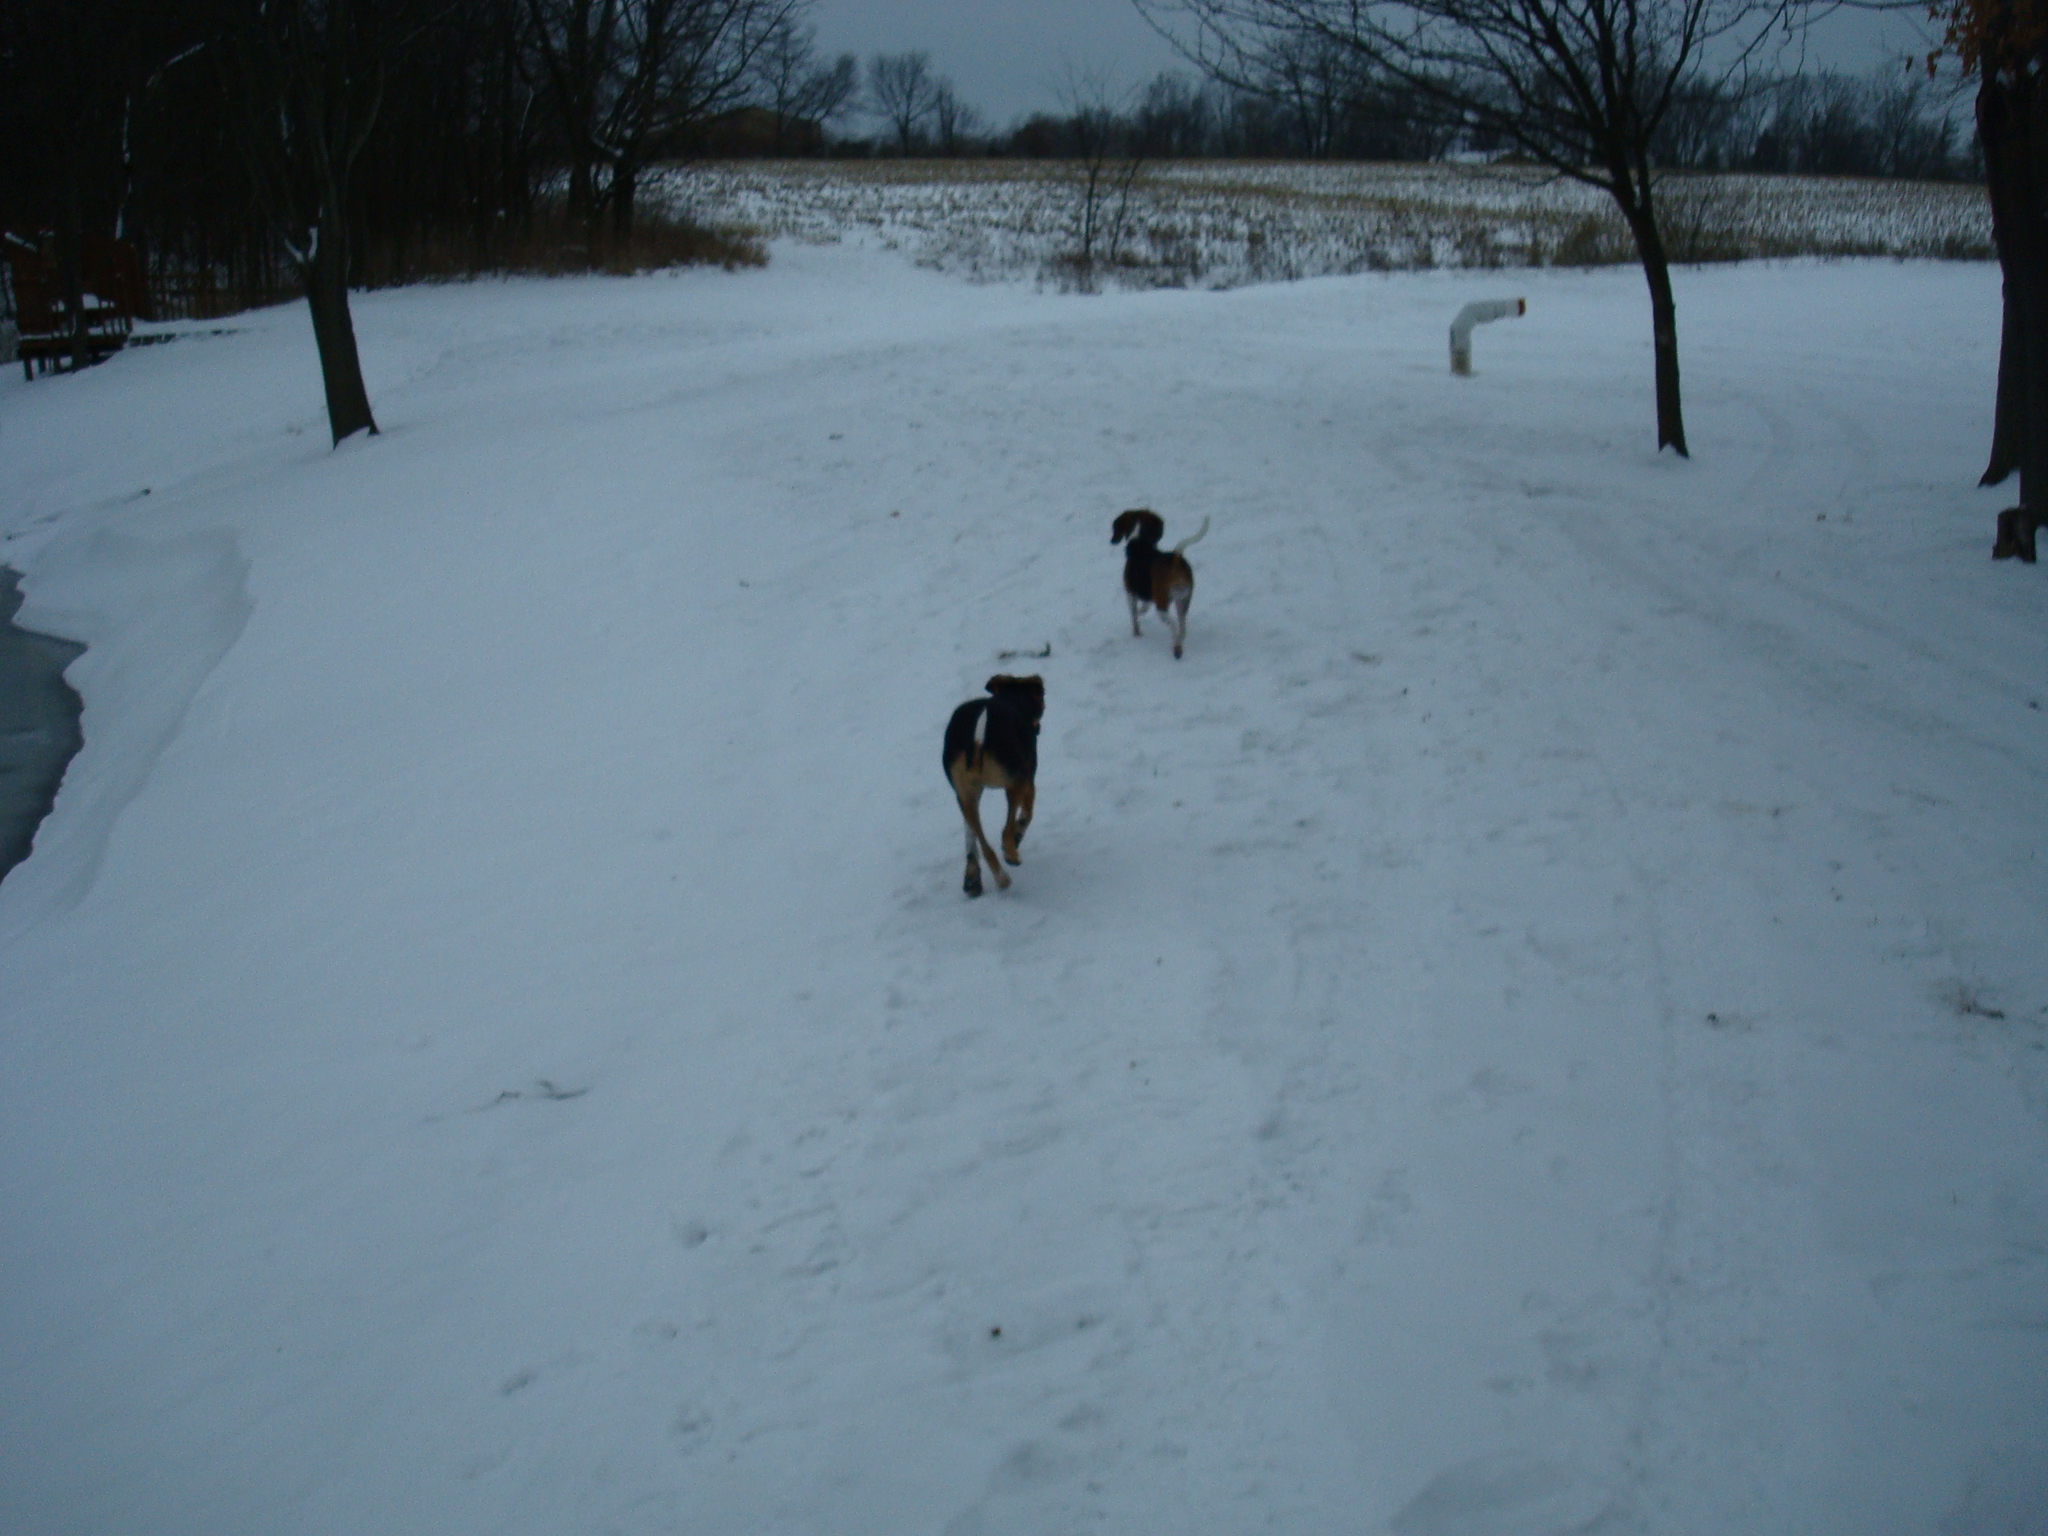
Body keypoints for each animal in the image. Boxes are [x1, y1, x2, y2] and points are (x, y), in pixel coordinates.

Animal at [942, 674, 1044, 897]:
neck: (1012, 697)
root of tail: (977, 738)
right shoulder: (1027, 778)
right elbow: (1028, 812)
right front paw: (1017, 836)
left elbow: (971, 837)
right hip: (1014, 781)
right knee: (1006, 828)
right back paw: (1011, 855)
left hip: (965, 794)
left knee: (981, 842)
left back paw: (986, 878)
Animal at [1112, 509, 1209, 658]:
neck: (1140, 543)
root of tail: (1175, 560)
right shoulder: (1147, 594)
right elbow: (1144, 607)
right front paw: (1142, 612)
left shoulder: (1130, 593)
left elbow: (1134, 615)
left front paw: (1136, 632)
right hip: (1183, 601)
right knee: (1182, 628)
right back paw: (1180, 642)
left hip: (1162, 606)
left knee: (1174, 626)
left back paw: (1176, 649)